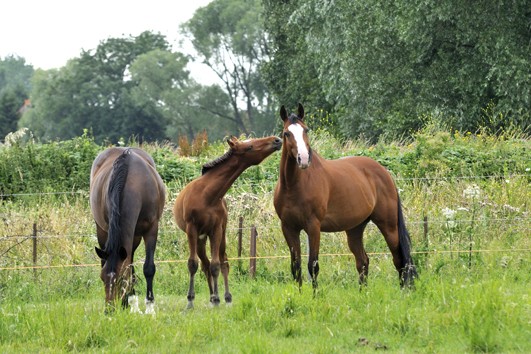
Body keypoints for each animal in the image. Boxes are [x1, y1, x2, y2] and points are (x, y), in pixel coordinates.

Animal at [89, 147, 165, 312]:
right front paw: (128, 302)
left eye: (120, 279)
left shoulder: (151, 229)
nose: (109, 309)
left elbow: (148, 268)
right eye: (102, 278)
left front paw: (150, 306)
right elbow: (128, 267)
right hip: (104, 231)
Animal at [174, 136, 282, 306]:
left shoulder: (216, 229)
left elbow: (216, 265)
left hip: (219, 235)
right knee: (205, 264)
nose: (277, 140)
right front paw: (190, 300)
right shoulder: (192, 230)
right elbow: (193, 264)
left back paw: (224, 296)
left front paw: (218, 299)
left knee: (222, 261)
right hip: (200, 238)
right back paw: (212, 295)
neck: (207, 195)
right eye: (249, 147)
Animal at [274, 103, 420, 290]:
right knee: (363, 262)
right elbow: (296, 267)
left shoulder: (313, 226)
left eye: (306, 130)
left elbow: (313, 265)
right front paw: (299, 294)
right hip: (355, 229)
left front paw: (315, 296)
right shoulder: (288, 228)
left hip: (389, 226)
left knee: (399, 260)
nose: (304, 159)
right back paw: (363, 293)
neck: (294, 185)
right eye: (287, 133)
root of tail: (385, 173)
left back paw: (404, 291)